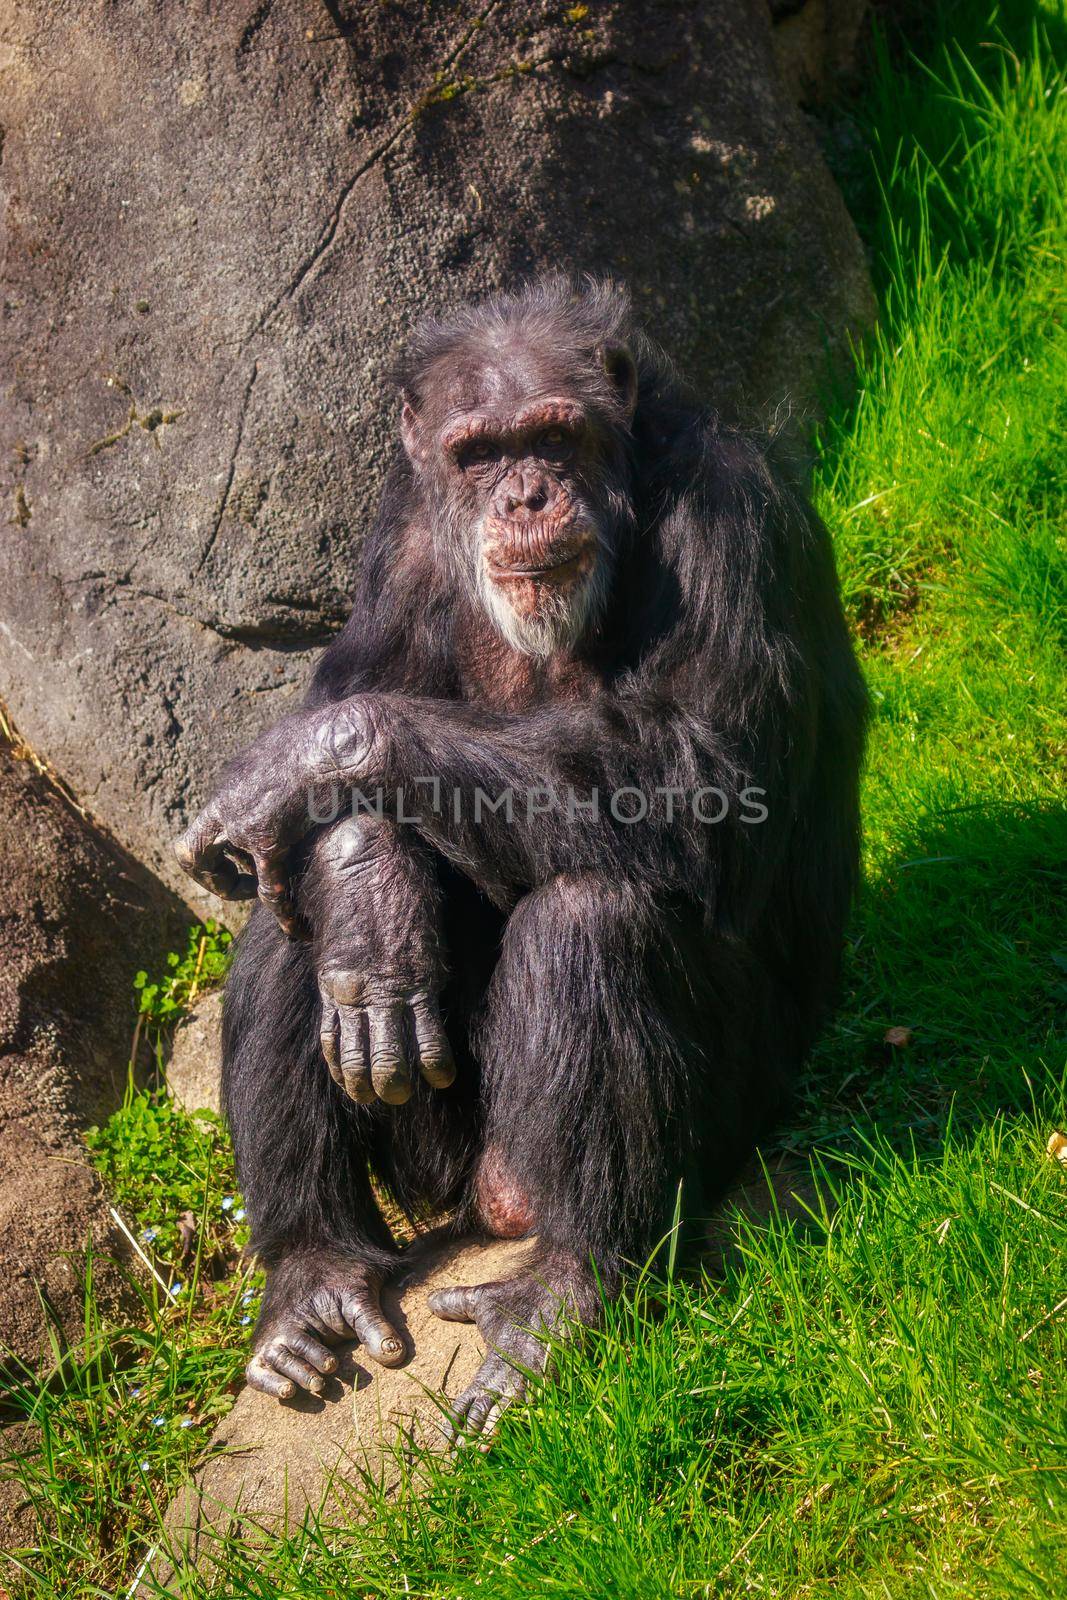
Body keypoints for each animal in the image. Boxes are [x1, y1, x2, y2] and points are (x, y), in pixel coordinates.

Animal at [173, 275, 870, 1440]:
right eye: (476, 454)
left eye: (551, 435)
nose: (527, 497)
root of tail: (495, 1203)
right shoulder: (399, 543)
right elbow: (351, 731)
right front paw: (368, 882)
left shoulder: (730, 517)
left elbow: (703, 773)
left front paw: (302, 761)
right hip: (437, 1161)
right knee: (280, 937)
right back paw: (312, 1276)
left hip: (742, 1108)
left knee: (598, 915)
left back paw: (561, 1292)